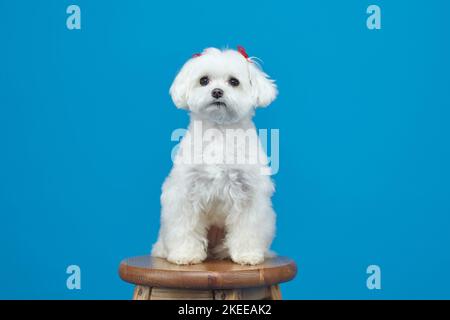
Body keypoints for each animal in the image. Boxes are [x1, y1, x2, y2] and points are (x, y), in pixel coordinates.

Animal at [152, 45, 278, 264]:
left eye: (234, 82)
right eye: (204, 80)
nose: (217, 91)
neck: (219, 131)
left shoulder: (249, 193)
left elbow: (248, 228)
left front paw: (247, 254)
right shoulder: (184, 190)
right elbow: (184, 226)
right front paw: (186, 254)